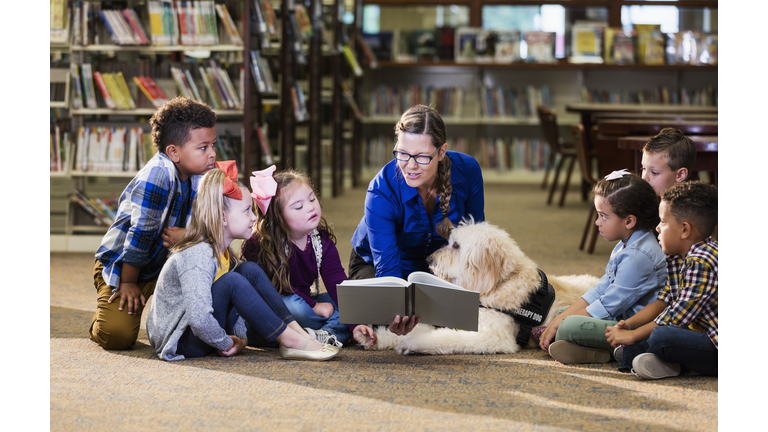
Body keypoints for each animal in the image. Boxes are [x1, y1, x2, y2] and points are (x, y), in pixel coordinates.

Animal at [356, 219, 596, 354]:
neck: (499, 285)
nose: (430, 260)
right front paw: (373, 337)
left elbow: (445, 337)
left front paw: (412, 343)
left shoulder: (493, 336)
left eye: (456, 245)